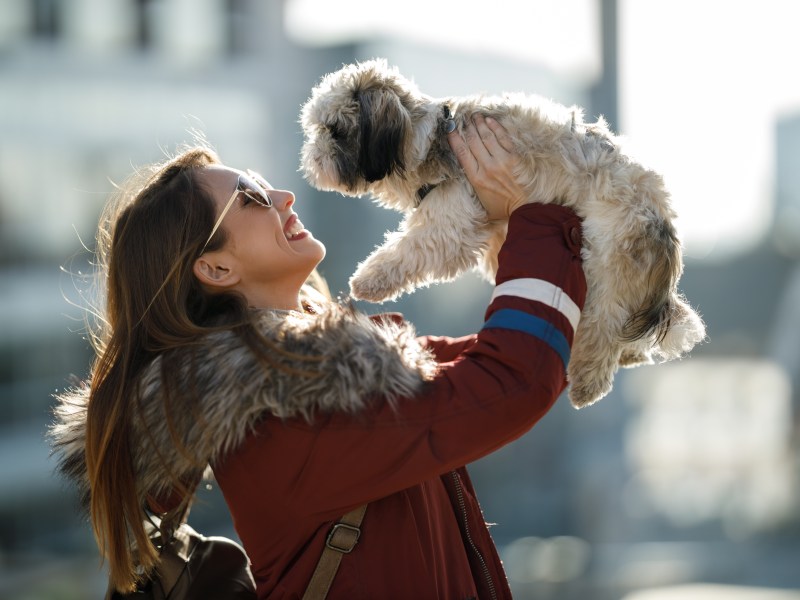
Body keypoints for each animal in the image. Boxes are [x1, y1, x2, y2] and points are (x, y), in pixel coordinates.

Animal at [300, 59, 708, 408]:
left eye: (335, 130)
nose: (310, 159)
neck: (427, 138)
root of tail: (663, 219)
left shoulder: (452, 216)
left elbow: (410, 249)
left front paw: (368, 279)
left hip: (606, 258)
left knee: (606, 324)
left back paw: (588, 382)